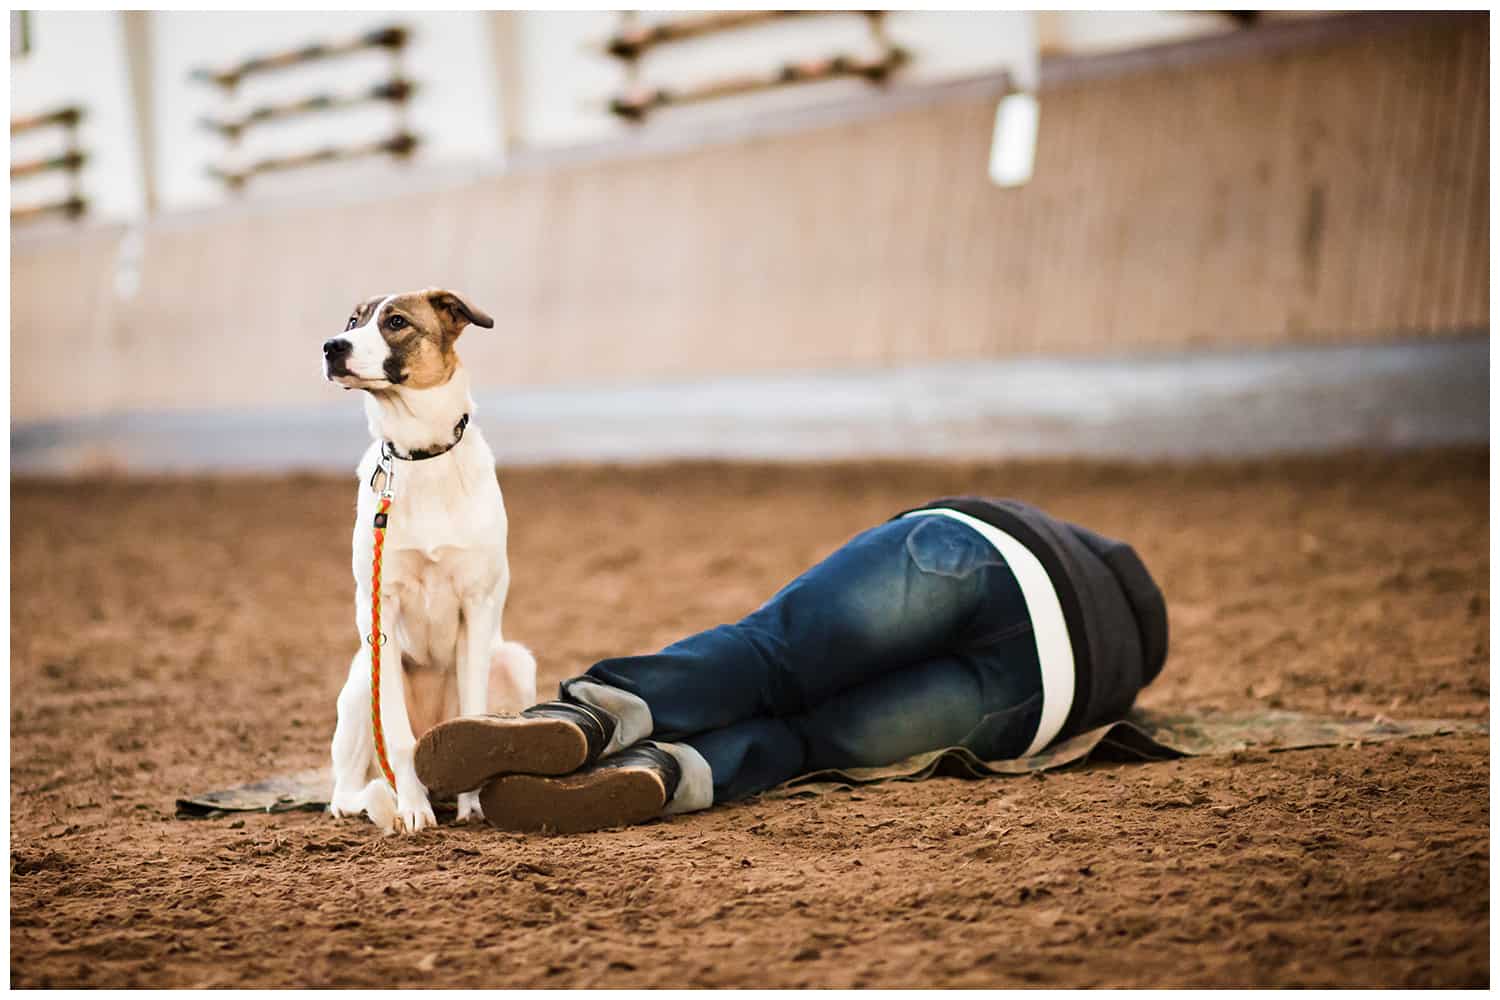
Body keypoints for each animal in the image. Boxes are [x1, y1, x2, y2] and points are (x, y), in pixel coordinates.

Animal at [322, 284, 540, 833]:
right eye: (353, 320)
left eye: (396, 322)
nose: (332, 347)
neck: (421, 456)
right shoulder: (381, 609)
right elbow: (399, 742)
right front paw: (412, 809)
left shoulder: (478, 605)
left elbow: (475, 719)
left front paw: (474, 806)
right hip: (363, 679)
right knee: (348, 783)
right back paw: (370, 802)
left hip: (514, 661)